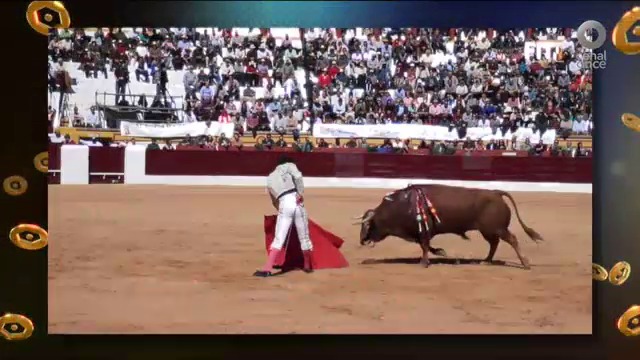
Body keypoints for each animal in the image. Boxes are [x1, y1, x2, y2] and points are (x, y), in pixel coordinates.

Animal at [352, 184, 544, 268]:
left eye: (367, 225)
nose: (362, 240)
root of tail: (496, 193)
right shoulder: (422, 232)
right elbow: (427, 245)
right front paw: (440, 252)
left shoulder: (424, 231)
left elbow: (424, 246)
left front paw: (424, 262)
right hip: (488, 231)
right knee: (494, 243)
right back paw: (486, 261)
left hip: (496, 228)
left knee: (512, 239)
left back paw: (525, 263)